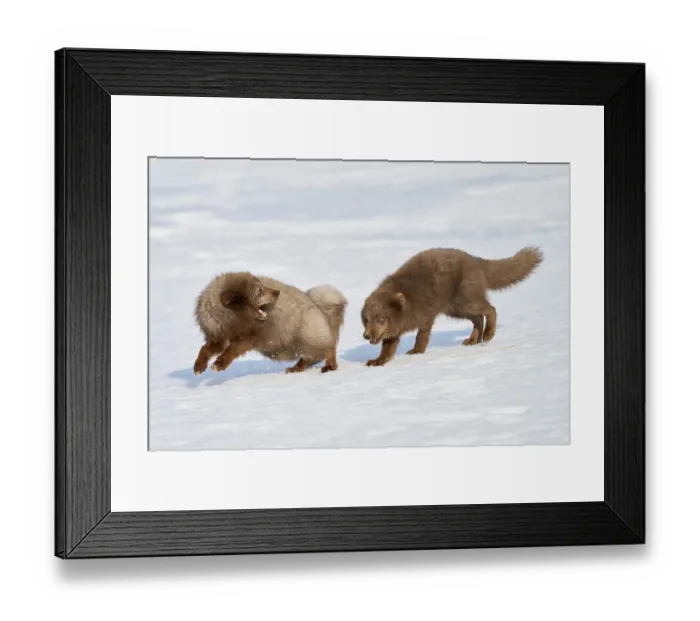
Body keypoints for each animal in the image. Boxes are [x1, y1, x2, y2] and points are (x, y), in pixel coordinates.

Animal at [193, 272, 347, 376]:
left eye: (261, 286)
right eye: (259, 291)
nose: (277, 292)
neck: (231, 321)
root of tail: (317, 306)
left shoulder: (249, 337)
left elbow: (231, 350)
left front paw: (219, 364)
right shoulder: (218, 337)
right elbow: (204, 349)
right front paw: (199, 366)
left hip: (300, 339)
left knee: (327, 347)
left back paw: (330, 366)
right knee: (312, 356)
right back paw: (296, 368)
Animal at [360, 247, 543, 367]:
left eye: (380, 319)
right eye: (366, 320)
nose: (366, 336)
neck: (407, 300)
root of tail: (475, 259)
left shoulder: (426, 316)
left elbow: (421, 337)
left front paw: (416, 352)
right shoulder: (393, 332)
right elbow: (387, 349)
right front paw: (377, 361)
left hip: (465, 301)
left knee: (490, 309)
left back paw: (488, 333)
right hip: (456, 309)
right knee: (478, 318)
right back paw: (473, 340)